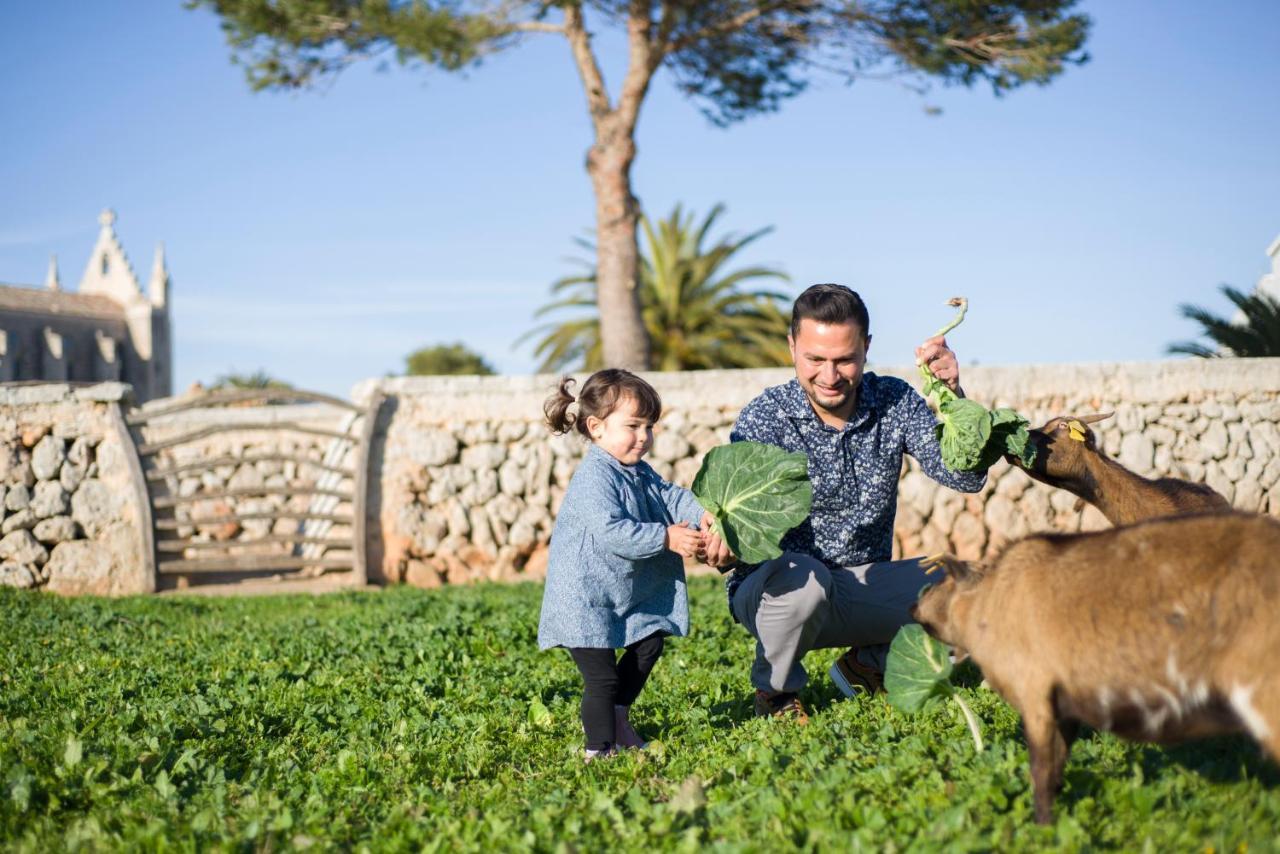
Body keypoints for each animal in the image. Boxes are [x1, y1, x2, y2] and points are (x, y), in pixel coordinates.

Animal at [911, 512, 1280, 824]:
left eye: (938, 583)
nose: (914, 607)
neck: (988, 601)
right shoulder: (1065, 705)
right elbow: (1056, 770)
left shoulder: (1035, 693)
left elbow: (1040, 773)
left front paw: (1042, 830)